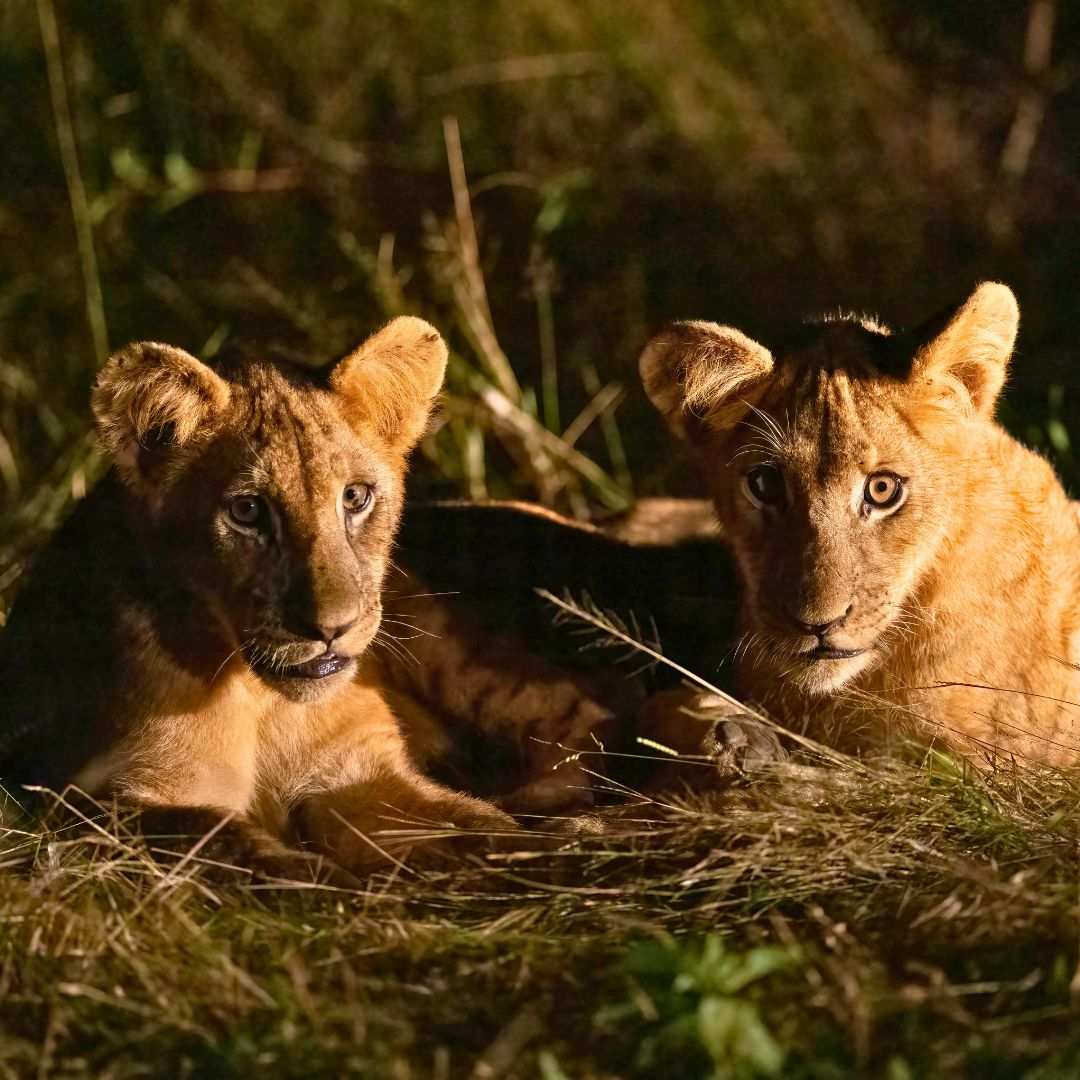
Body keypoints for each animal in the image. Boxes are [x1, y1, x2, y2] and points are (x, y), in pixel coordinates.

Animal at [0, 317, 521, 879]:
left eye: (355, 497)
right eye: (247, 511)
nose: (331, 628)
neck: (265, 704)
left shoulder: (360, 773)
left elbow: (484, 825)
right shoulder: (102, 800)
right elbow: (230, 847)